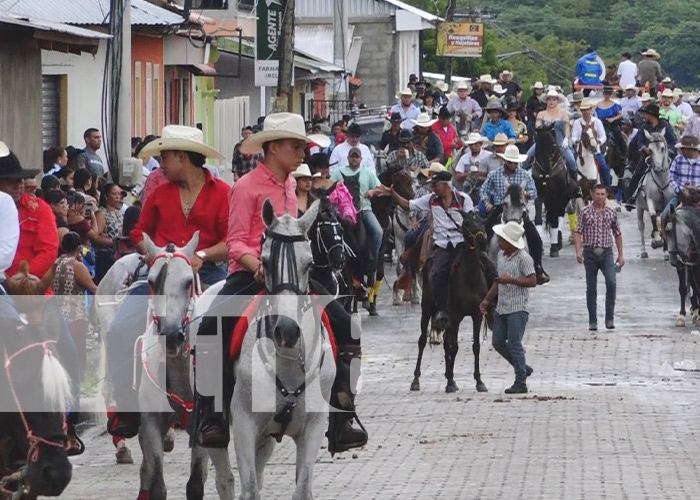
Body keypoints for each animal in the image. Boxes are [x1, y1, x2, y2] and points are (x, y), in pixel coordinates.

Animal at [408, 209, 490, 392]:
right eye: (467, 222)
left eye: (482, 221)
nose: (482, 241)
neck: (470, 277)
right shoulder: (456, 315)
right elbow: (454, 347)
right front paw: (451, 380)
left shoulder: (477, 314)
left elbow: (475, 347)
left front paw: (479, 381)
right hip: (427, 307)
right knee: (422, 340)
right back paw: (416, 380)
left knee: (446, 342)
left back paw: (449, 378)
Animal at [536, 122, 580, 258]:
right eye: (538, 144)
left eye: (553, 144)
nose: (546, 169)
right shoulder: (539, 195)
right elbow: (539, 217)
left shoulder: (558, 196)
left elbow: (555, 219)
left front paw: (554, 248)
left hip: (565, 197)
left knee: (559, 214)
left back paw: (558, 243)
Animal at [636, 131, 672, 260]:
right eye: (650, 150)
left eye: (662, 148)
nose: (658, 168)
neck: (661, 181)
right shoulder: (650, 200)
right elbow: (652, 215)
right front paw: (657, 239)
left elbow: (664, 222)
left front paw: (666, 251)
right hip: (639, 208)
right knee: (641, 226)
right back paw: (643, 251)